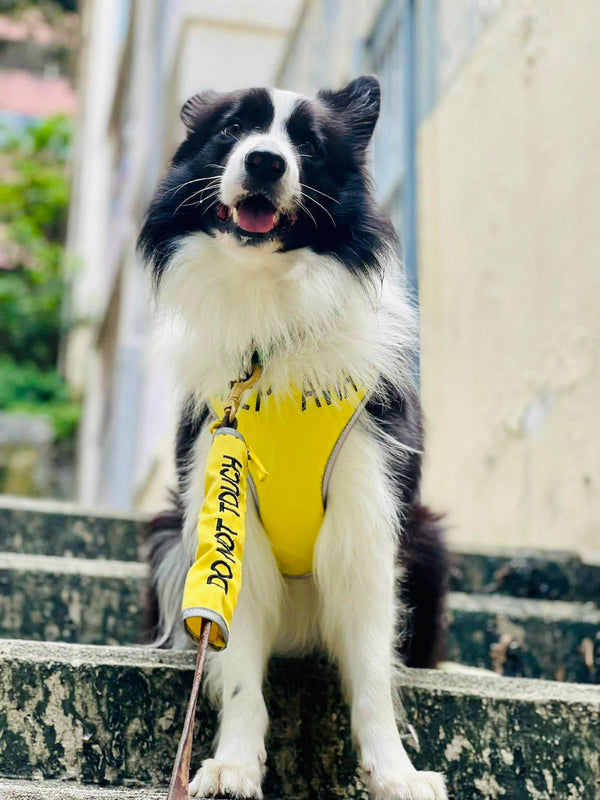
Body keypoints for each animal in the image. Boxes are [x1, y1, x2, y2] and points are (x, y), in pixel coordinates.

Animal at [139, 76, 450, 800]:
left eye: (307, 144)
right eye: (231, 128)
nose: (265, 162)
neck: (268, 314)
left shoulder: (368, 512)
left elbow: (372, 672)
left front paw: (395, 773)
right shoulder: (226, 511)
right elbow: (238, 664)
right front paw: (231, 764)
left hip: (427, 541)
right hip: (169, 536)